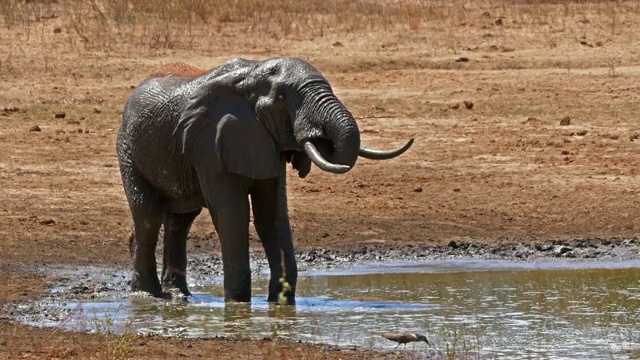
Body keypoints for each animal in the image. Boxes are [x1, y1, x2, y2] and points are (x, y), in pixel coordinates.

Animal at [117, 56, 412, 304]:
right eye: (282, 97)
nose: (320, 137)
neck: (250, 77)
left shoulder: (267, 144)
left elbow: (271, 215)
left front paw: (280, 304)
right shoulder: (210, 145)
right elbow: (232, 214)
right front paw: (238, 305)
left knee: (180, 221)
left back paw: (179, 296)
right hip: (128, 151)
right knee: (149, 217)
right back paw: (149, 295)